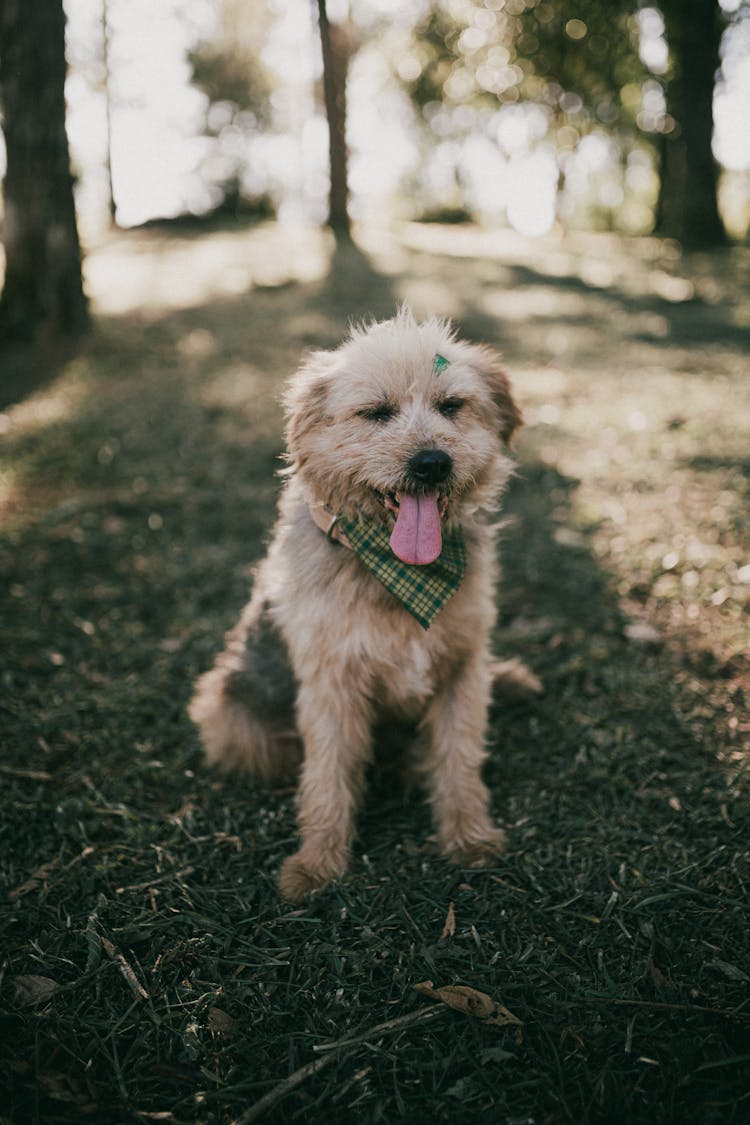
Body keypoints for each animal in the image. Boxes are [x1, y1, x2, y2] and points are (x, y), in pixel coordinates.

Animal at [188, 310, 539, 904]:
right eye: (376, 412)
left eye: (451, 405)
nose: (431, 464)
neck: (404, 577)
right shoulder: (332, 683)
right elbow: (329, 776)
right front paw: (317, 864)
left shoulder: (462, 667)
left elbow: (459, 758)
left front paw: (469, 836)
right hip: (234, 715)